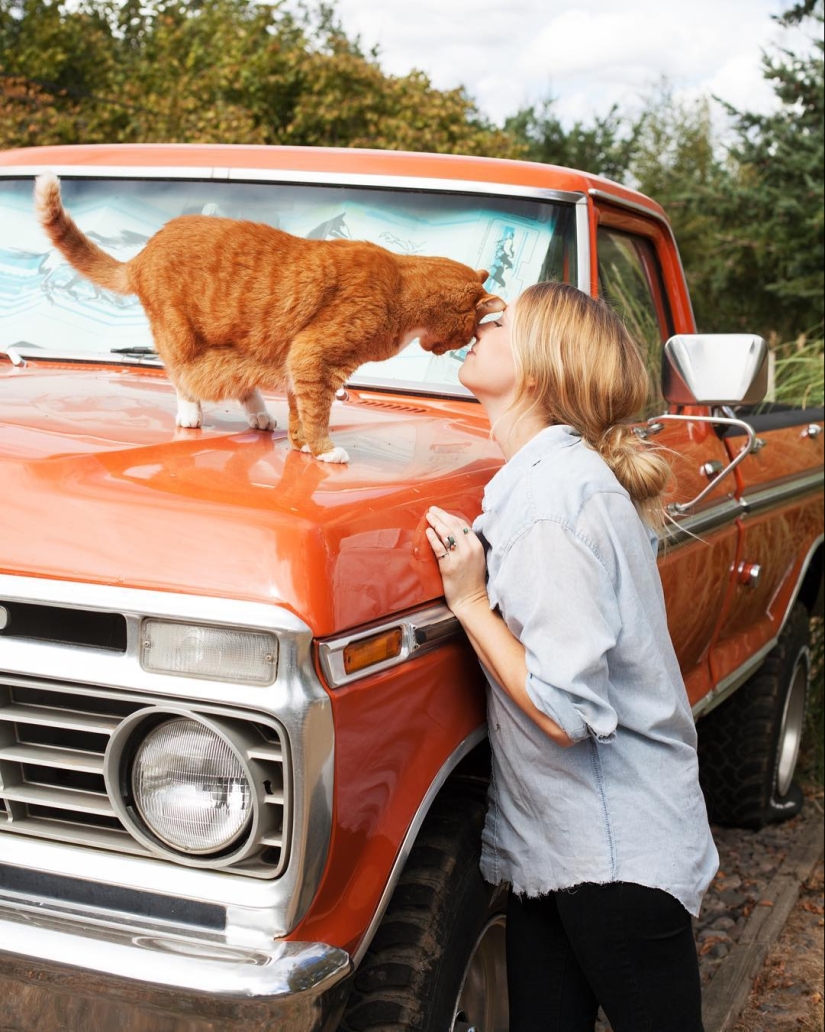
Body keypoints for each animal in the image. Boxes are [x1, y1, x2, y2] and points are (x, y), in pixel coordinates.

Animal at [37, 173, 503, 460]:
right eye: (467, 337)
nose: (449, 351)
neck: (403, 285)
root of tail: (147, 249)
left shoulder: (300, 364)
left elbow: (301, 410)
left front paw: (300, 446)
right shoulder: (314, 357)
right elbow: (318, 413)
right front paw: (325, 451)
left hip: (244, 346)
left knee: (240, 382)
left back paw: (259, 415)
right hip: (184, 336)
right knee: (181, 374)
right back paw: (190, 412)